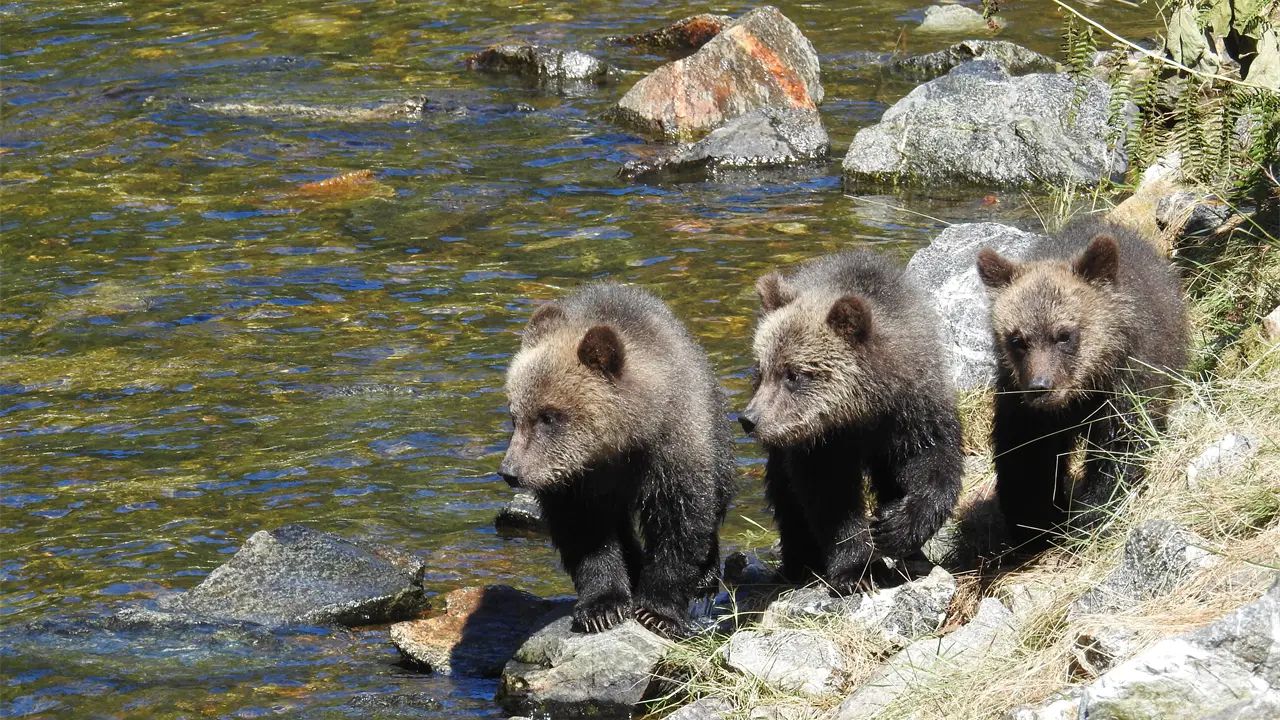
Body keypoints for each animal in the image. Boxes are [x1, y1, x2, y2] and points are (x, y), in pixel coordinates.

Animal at [499, 283, 736, 636]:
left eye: (548, 416)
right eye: (515, 416)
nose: (510, 472)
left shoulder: (671, 451)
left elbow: (680, 523)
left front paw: (658, 612)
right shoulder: (575, 481)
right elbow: (586, 534)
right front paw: (603, 607)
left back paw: (706, 575)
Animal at [739, 251, 964, 591]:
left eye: (793, 374)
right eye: (762, 370)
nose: (749, 419)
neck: (864, 410)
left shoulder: (914, 411)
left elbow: (935, 463)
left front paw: (895, 525)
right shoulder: (822, 442)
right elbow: (830, 496)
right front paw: (857, 570)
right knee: (785, 497)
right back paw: (800, 562)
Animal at [976, 218, 1188, 552]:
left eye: (1064, 334)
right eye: (1017, 339)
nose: (1040, 386)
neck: (1081, 391)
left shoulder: (1124, 385)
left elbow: (1119, 451)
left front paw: (1092, 516)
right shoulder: (1021, 402)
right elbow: (1027, 457)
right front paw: (1036, 522)